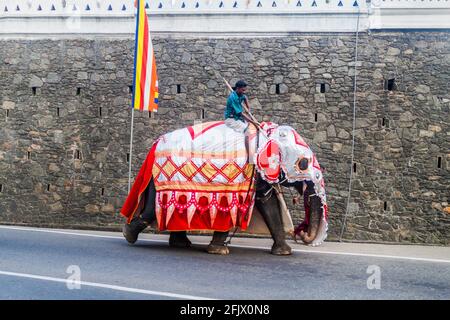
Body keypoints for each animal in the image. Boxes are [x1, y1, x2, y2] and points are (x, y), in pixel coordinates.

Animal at [121, 120, 328, 255]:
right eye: (303, 164)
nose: (302, 233)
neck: (263, 134)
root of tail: (155, 145)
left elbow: (268, 204)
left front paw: (284, 252)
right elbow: (229, 207)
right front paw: (219, 250)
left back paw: (180, 244)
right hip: (159, 179)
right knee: (151, 211)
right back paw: (128, 234)